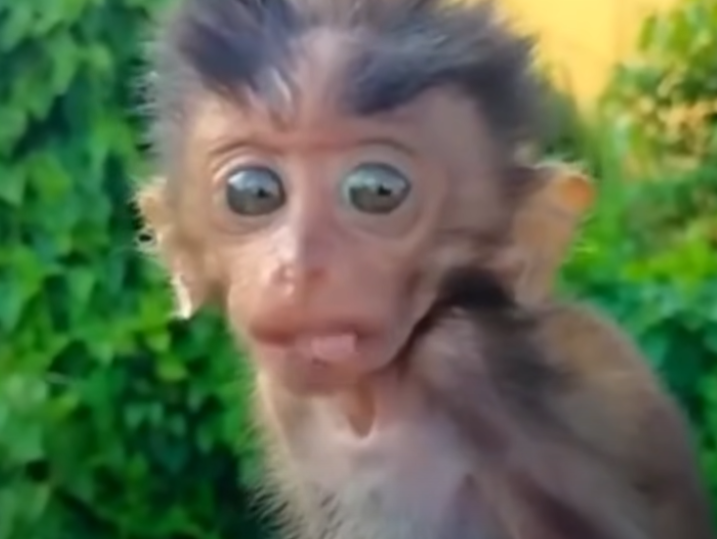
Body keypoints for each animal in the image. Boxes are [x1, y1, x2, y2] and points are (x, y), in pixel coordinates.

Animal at [138, 0, 716, 538]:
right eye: (252, 192)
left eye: (377, 191)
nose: (297, 267)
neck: (374, 400)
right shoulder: (283, 400)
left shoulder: (469, 354)